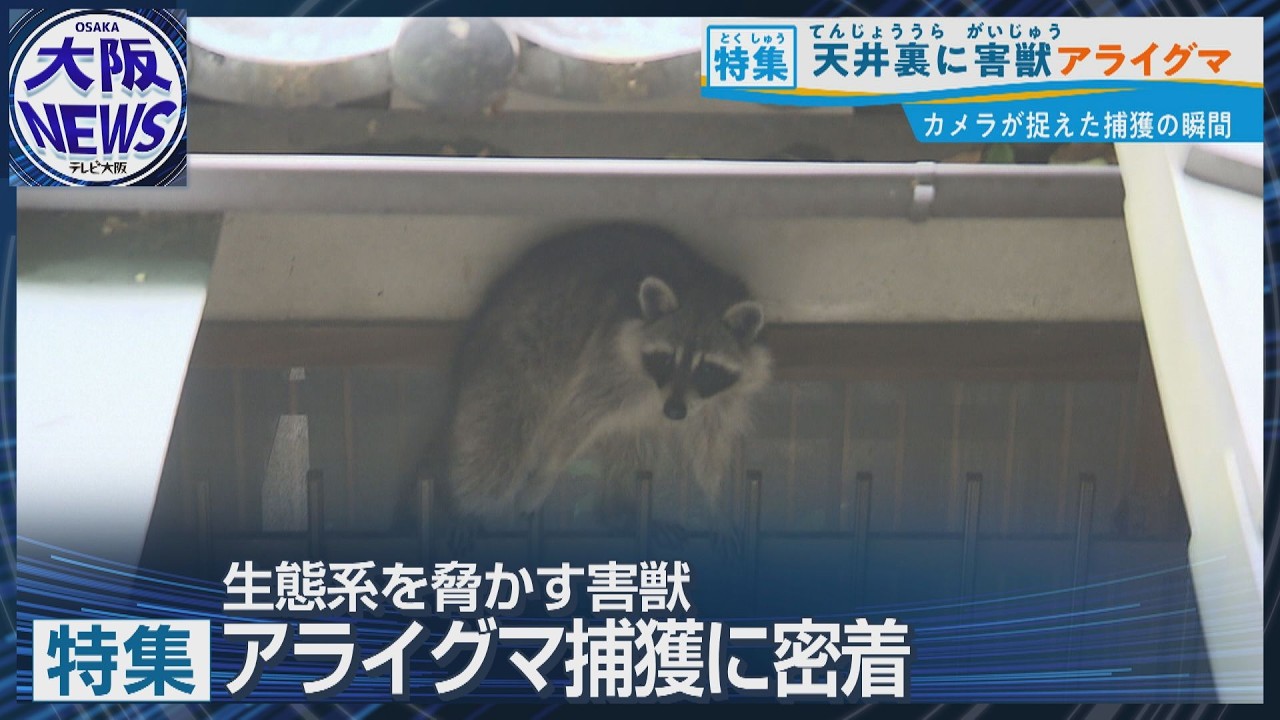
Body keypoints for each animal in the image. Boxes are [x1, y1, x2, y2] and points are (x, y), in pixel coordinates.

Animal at [438, 222, 772, 546]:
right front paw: (546, 474)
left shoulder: (721, 399)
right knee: (499, 436)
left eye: (706, 368)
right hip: (513, 358)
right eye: (666, 358)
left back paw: (622, 510)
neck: (703, 290)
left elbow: (709, 445)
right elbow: (576, 418)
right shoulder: (608, 360)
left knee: (637, 441)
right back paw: (472, 506)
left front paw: (715, 503)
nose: (674, 412)